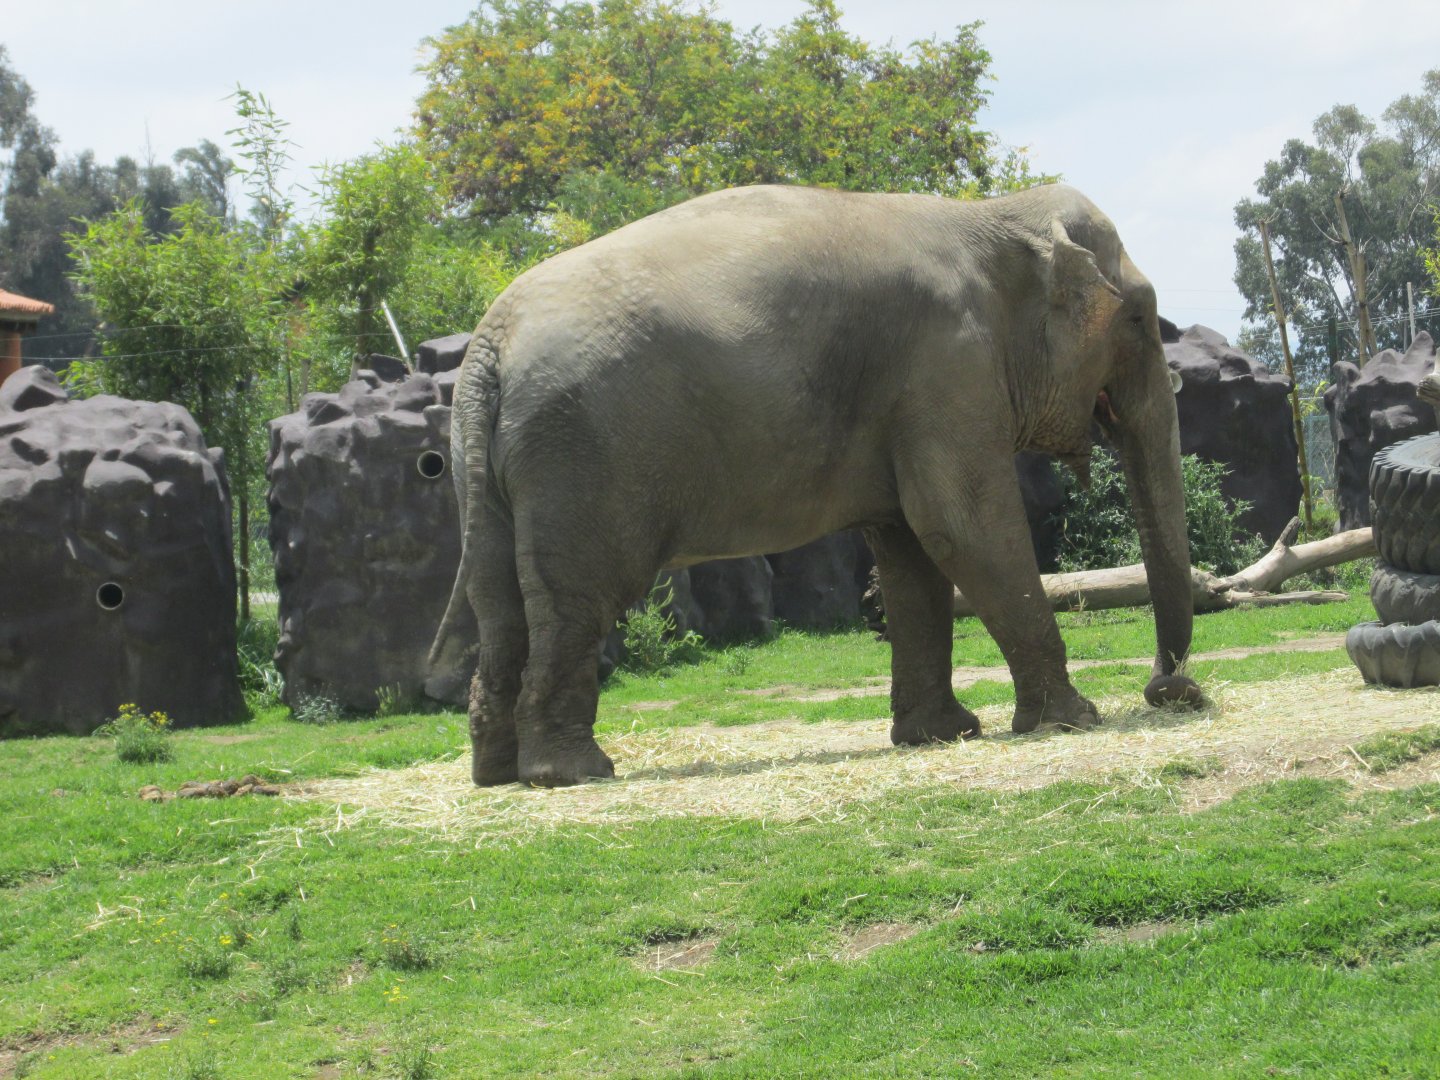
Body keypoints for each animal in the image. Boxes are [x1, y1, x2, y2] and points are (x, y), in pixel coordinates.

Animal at [429, 182, 1202, 787]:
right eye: (1139, 318)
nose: (1173, 691)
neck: (992, 214)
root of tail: (488, 349)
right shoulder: (947, 367)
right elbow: (961, 525)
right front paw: (1072, 722)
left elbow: (910, 549)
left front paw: (942, 735)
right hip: (579, 457)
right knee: (577, 600)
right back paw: (573, 773)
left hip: (492, 470)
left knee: (500, 605)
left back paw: (498, 774)